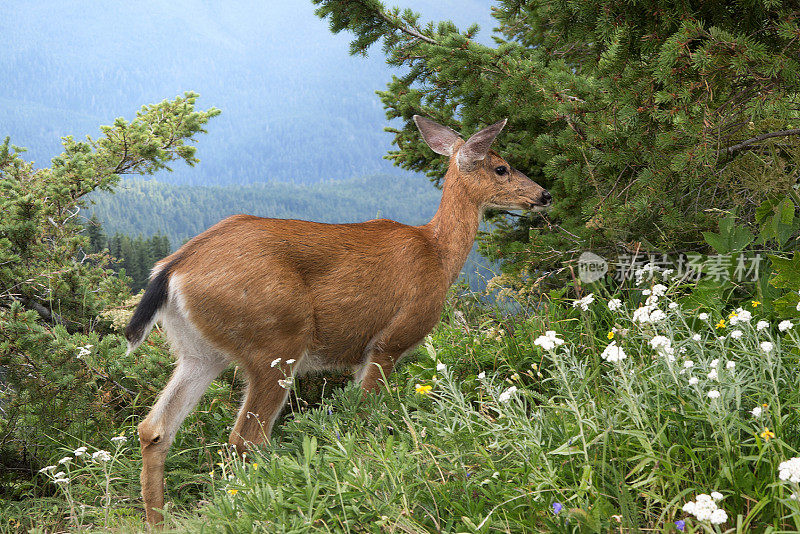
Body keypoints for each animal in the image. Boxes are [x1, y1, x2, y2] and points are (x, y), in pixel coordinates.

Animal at [125, 116, 552, 528]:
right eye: (501, 167)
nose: (544, 195)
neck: (438, 254)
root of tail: (172, 269)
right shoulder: (389, 341)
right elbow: (365, 415)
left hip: (199, 353)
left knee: (155, 429)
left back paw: (157, 521)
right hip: (275, 342)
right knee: (246, 438)